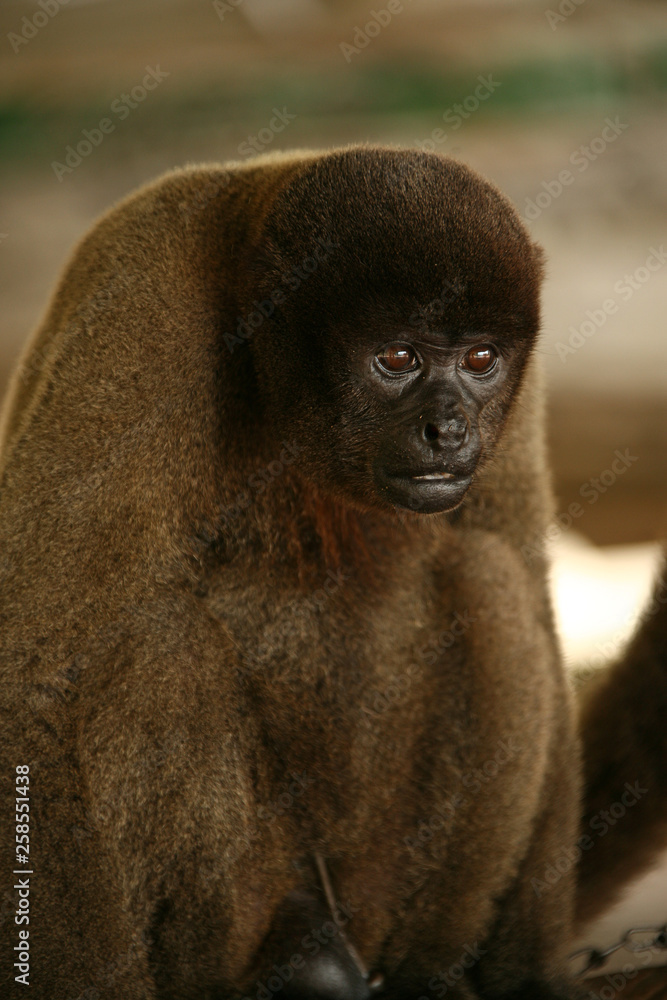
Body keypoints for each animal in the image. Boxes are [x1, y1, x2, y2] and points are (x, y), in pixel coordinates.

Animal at [0, 145, 664, 1000]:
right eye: (396, 358)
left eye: (480, 358)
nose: (449, 429)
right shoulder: (140, 307)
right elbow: (38, 671)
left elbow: (528, 589)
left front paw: (528, 977)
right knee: (155, 642)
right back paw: (288, 960)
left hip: (376, 891)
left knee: (490, 582)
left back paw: (424, 973)